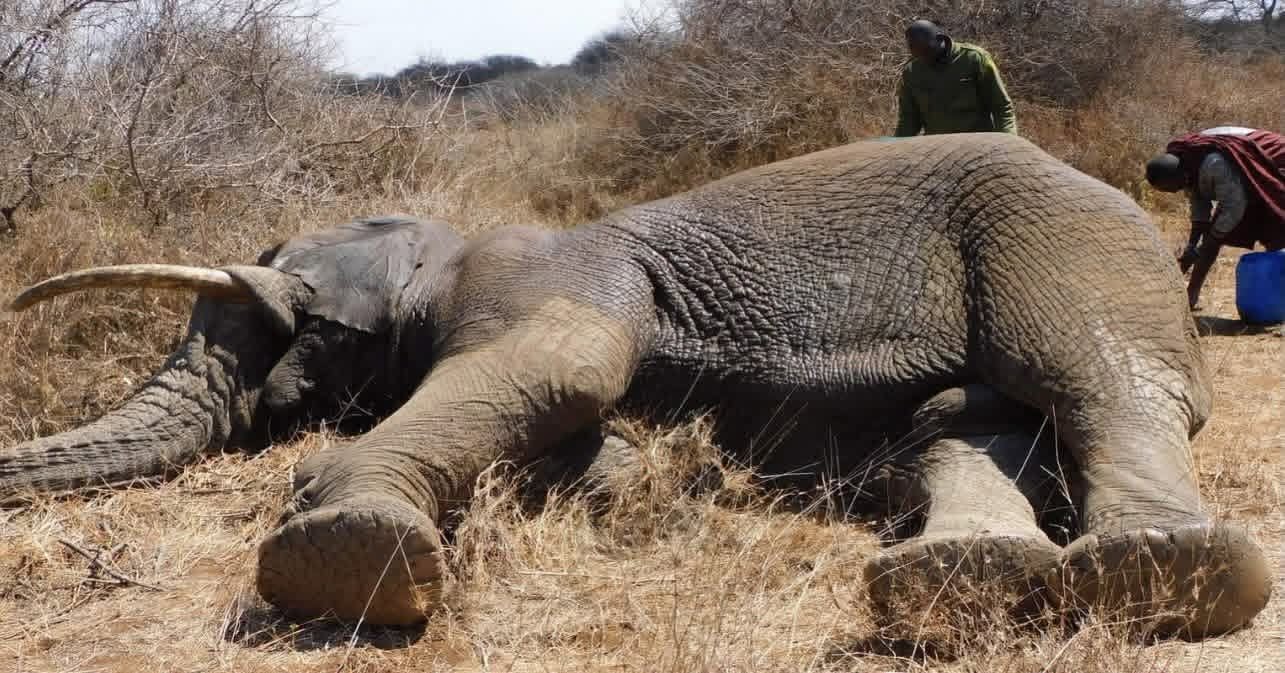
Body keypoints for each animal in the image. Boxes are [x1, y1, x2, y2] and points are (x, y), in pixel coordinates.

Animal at [1, 133, 1271, 639]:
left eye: (271, 330)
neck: (436, 247)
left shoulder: (546, 279)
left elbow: (562, 371)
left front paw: (341, 538)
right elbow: (588, 437)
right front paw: (642, 484)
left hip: (1060, 229)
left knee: (1096, 380)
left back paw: (1168, 573)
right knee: (963, 419)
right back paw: (960, 581)